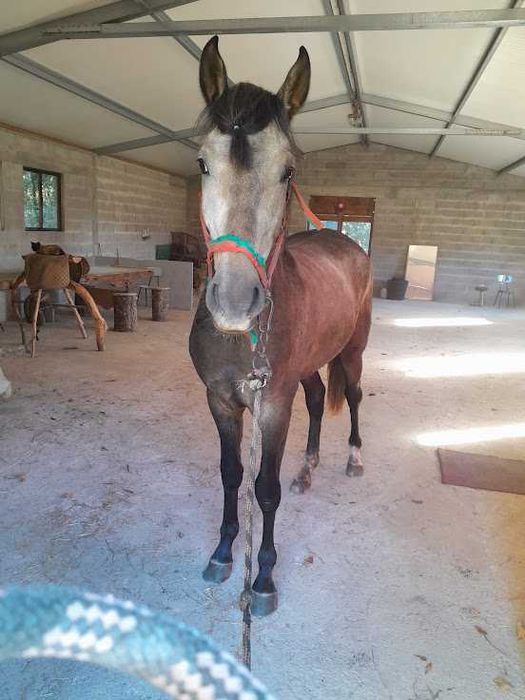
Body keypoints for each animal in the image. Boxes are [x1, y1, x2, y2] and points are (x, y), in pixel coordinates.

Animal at [189, 36, 372, 617]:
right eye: (203, 162)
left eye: (287, 171)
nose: (233, 303)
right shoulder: (221, 401)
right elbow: (232, 476)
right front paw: (222, 552)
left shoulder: (272, 404)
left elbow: (263, 488)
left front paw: (264, 578)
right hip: (309, 370)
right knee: (316, 401)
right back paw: (308, 468)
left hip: (352, 352)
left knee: (351, 396)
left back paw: (353, 458)